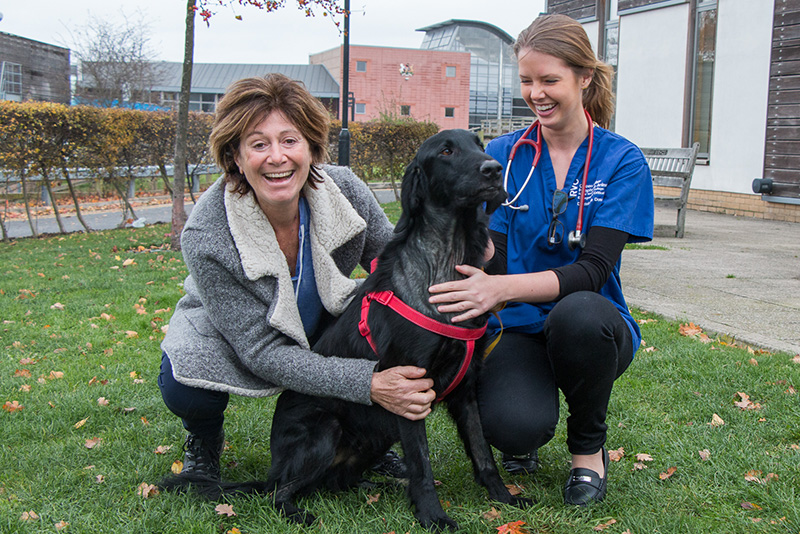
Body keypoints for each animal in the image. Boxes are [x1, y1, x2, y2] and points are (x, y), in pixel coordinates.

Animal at [268, 129, 532, 532]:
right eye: (446, 151)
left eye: (480, 145)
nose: (493, 169)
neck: (445, 260)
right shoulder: (409, 389)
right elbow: (422, 464)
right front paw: (433, 516)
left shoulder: (466, 389)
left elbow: (483, 452)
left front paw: (504, 498)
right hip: (326, 430)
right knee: (279, 491)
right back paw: (299, 512)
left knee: (336, 481)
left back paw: (374, 486)